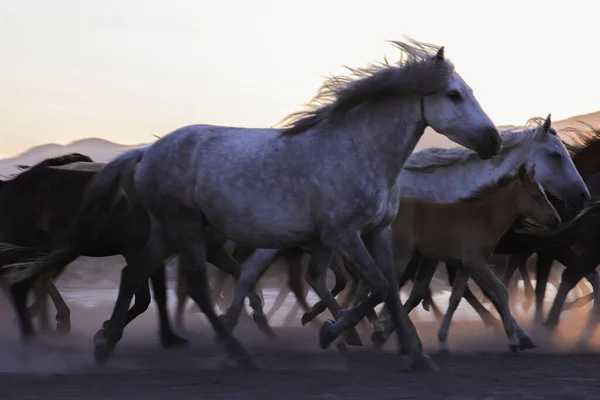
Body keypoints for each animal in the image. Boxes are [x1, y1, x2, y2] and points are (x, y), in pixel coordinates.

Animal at [2, 39, 504, 370]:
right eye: (454, 94)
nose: (494, 141)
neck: (359, 150)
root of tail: (149, 150)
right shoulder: (343, 235)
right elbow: (378, 287)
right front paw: (333, 333)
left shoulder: (375, 233)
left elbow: (388, 292)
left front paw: (414, 353)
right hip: (186, 229)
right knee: (195, 287)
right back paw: (235, 351)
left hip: (166, 231)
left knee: (136, 275)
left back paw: (106, 343)